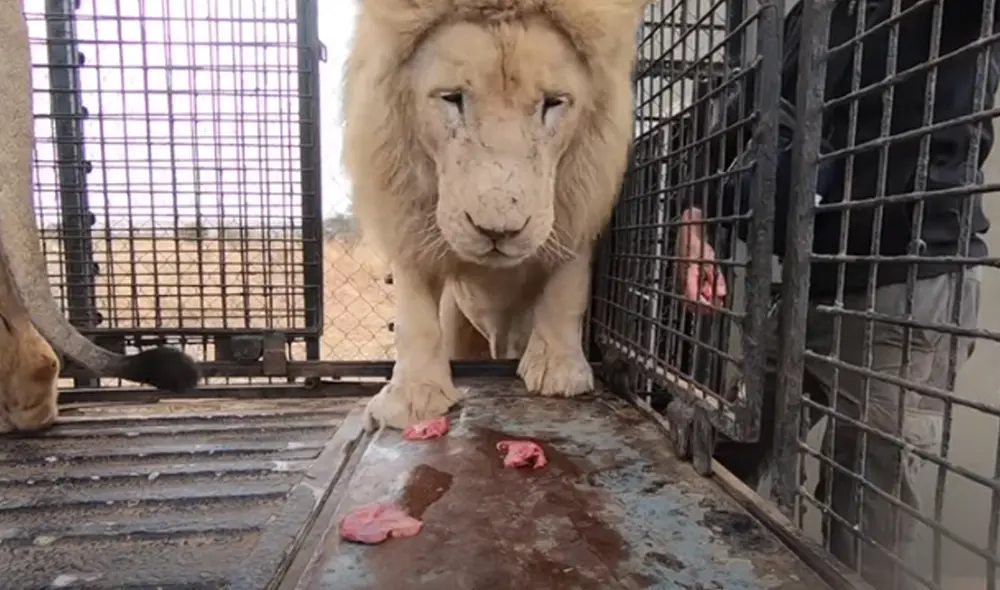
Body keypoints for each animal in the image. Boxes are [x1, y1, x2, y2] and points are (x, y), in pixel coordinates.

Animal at [343, 0, 653, 430]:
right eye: (452, 97)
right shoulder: (405, 210)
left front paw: (559, 370)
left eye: (553, 102)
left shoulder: (580, 201)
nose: (498, 231)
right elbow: (414, 312)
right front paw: (414, 395)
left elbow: (566, 287)